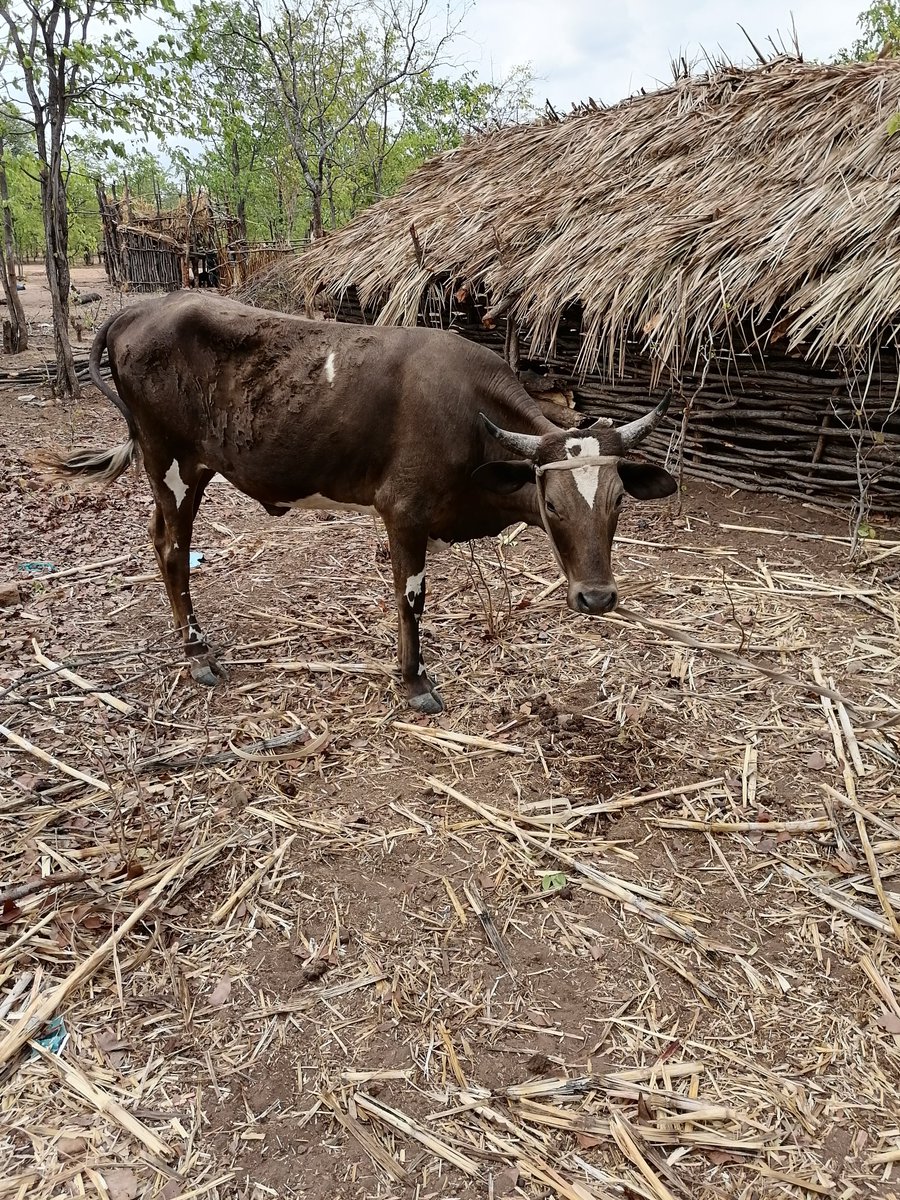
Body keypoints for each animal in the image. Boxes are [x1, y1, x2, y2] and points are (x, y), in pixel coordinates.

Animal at [47, 292, 676, 714]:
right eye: (551, 504)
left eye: (619, 500)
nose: (597, 597)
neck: (469, 416)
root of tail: (140, 308)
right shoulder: (403, 511)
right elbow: (411, 599)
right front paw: (415, 682)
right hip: (170, 461)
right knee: (173, 551)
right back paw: (198, 652)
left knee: (161, 543)